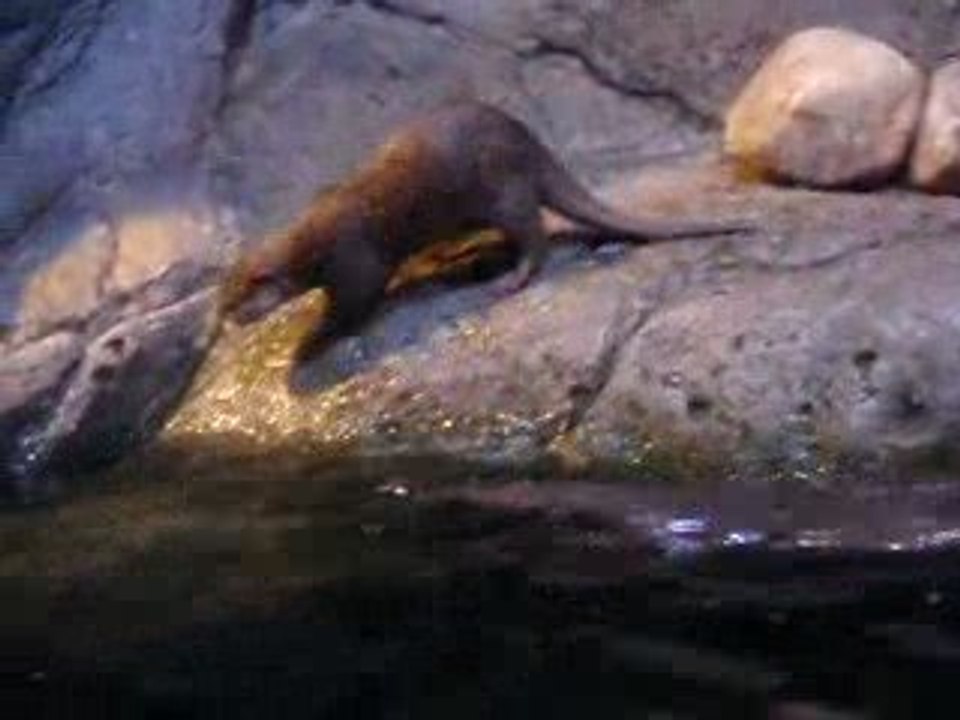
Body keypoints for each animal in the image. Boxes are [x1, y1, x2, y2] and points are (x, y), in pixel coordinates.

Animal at [221, 102, 751, 361]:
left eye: (236, 301)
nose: (227, 322)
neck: (311, 238)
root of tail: (533, 148)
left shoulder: (354, 259)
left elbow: (355, 302)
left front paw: (313, 337)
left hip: (502, 189)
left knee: (535, 234)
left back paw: (510, 278)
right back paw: (452, 257)